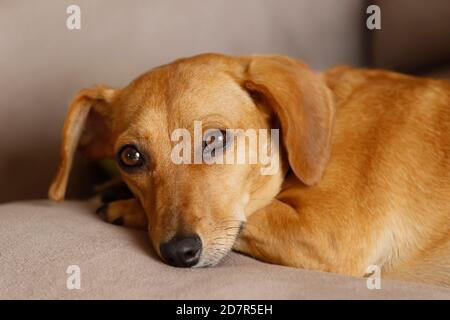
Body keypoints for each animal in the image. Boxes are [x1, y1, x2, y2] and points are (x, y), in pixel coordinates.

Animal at [49, 53, 450, 286]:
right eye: (130, 157)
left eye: (213, 138)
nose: (179, 253)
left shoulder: (328, 235)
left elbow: (251, 217)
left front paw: (123, 206)